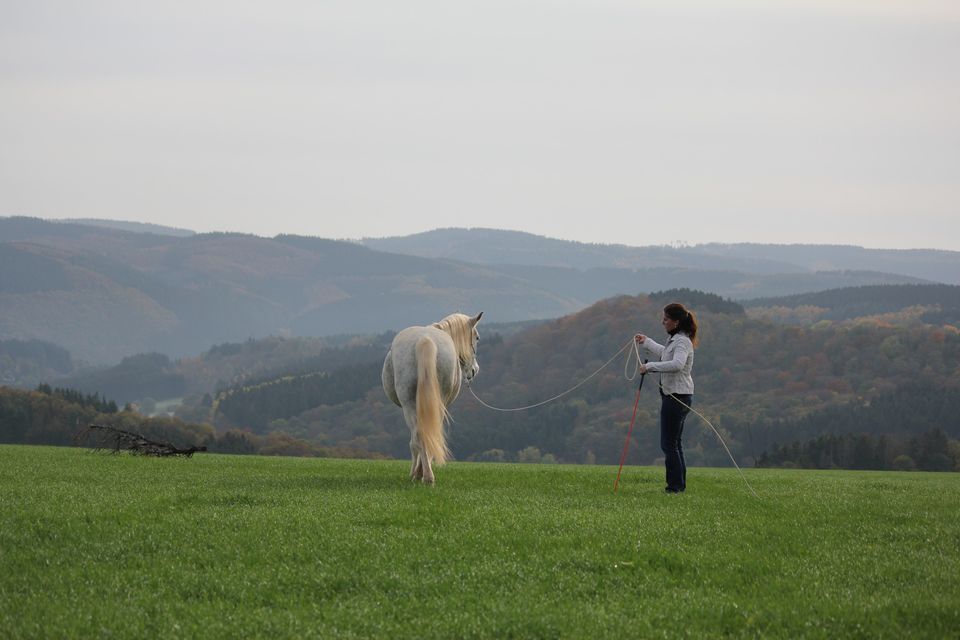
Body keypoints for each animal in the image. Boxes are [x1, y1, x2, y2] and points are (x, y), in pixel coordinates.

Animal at [382, 312, 484, 484]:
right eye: (477, 337)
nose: (474, 370)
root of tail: (425, 339)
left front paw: (417, 472)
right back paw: (426, 476)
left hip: (410, 405)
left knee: (420, 435)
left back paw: (425, 475)